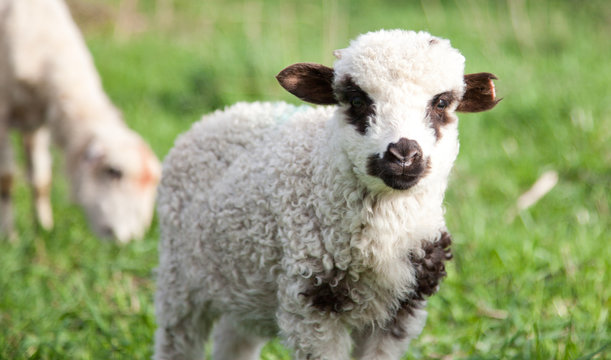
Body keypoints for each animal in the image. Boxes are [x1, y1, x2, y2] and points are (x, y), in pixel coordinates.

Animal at [0, 0, 161, 243]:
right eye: (114, 171)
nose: (129, 239)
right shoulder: (3, 114)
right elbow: (7, 180)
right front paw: (9, 237)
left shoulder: (38, 118)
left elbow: (41, 181)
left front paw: (43, 228)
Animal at [153, 28, 498, 360]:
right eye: (357, 101)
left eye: (441, 103)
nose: (403, 154)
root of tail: (224, 111)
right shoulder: (310, 305)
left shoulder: (403, 309)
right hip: (178, 277)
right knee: (176, 342)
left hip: (244, 287)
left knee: (234, 340)